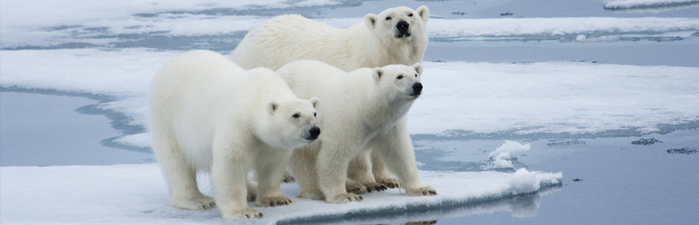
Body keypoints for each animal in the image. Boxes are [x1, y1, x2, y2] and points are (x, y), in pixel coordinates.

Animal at [150, 50, 322, 219]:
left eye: (314, 113)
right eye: (295, 115)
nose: (314, 130)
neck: (258, 95)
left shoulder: (272, 142)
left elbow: (272, 163)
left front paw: (277, 199)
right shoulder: (238, 124)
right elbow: (231, 164)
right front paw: (244, 212)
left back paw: (251, 191)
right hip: (166, 117)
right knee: (176, 162)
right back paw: (198, 200)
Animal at [274, 60, 434, 204]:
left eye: (415, 74)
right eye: (399, 76)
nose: (417, 86)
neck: (369, 107)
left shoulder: (389, 127)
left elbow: (399, 153)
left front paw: (422, 189)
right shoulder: (348, 119)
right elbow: (334, 155)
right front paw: (343, 196)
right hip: (295, 128)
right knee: (302, 159)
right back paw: (317, 190)